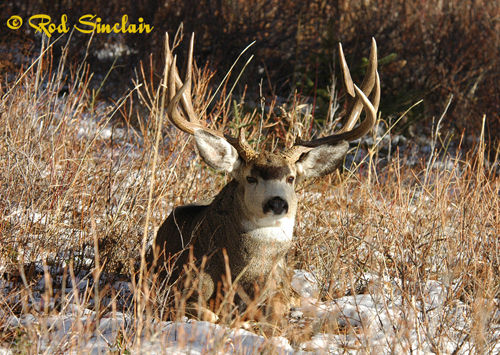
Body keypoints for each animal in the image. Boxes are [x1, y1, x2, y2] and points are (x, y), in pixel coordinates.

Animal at [146, 34, 380, 324]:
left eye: (291, 178)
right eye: (250, 178)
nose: (277, 203)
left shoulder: (280, 290)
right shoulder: (181, 289)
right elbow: (209, 315)